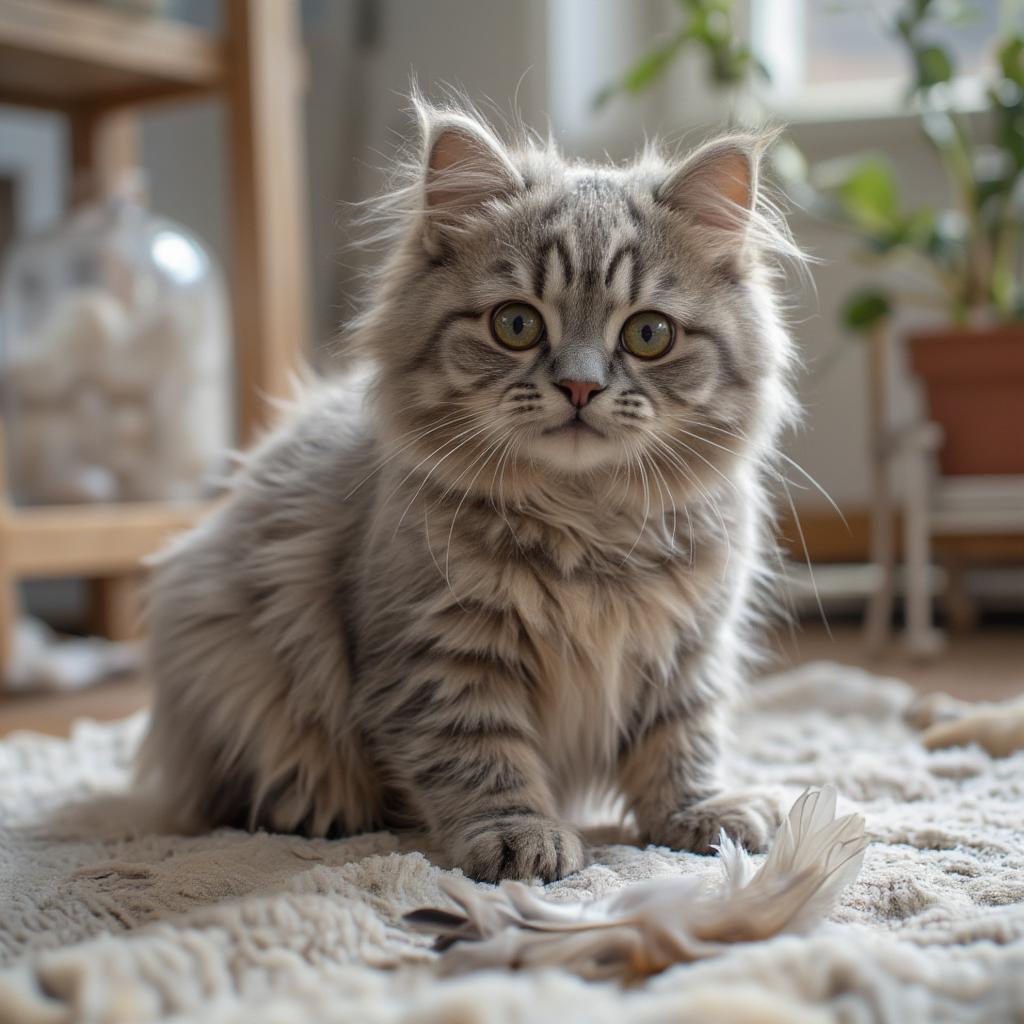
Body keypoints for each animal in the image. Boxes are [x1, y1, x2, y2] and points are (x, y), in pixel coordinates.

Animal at [140, 94, 802, 880]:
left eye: (648, 335)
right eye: (516, 324)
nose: (580, 386)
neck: (587, 524)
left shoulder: (688, 648)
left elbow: (681, 743)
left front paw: (702, 816)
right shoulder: (443, 656)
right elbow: (481, 757)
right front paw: (522, 838)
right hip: (225, 648)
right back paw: (318, 811)